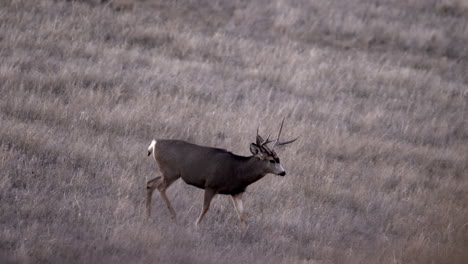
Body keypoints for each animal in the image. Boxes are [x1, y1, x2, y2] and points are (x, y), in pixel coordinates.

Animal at [146, 119, 298, 225]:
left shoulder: (237, 192)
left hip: (165, 172)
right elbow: (205, 208)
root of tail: (154, 144)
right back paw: (174, 215)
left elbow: (242, 215)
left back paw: (149, 215)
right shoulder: (211, 185)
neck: (238, 170)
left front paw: (243, 233)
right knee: (160, 188)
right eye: (272, 160)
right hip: (171, 172)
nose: (283, 172)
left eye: (279, 159)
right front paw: (195, 225)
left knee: (150, 183)